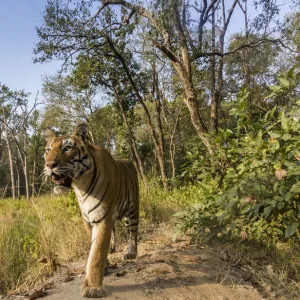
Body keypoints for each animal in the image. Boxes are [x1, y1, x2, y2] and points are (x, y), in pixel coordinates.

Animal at [43, 123, 139, 296]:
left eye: (67, 148)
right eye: (48, 150)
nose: (49, 165)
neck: (81, 185)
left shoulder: (102, 217)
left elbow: (97, 252)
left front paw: (93, 288)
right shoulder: (88, 219)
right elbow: (96, 245)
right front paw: (105, 267)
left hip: (133, 209)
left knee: (132, 232)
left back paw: (131, 252)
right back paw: (113, 248)